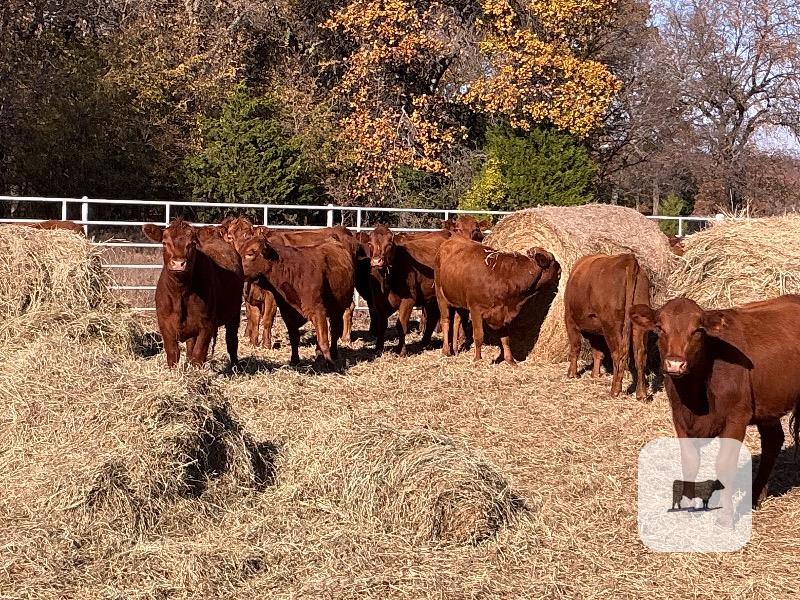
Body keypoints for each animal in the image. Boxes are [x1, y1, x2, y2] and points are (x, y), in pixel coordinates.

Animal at [142, 219, 244, 368]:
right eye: (164, 242)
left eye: (193, 243)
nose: (178, 263)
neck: (180, 293)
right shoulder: (164, 323)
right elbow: (173, 353)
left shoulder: (207, 324)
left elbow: (198, 355)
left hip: (234, 312)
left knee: (231, 340)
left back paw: (235, 367)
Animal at [237, 233, 355, 369]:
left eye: (250, 253)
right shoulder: (287, 313)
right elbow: (294, 338)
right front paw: (294, 360)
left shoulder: (318, 311)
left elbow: (324, 340)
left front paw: (330, 364)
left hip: (338, 308)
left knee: (335, 331)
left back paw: (334, 354)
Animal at [367, 225, 449, 355]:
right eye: (370, 243)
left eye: (389, 244)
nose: (376, 261)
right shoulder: (379, 302)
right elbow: (382, 325)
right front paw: (378, 348)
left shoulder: (408, 300)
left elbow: (401, 325)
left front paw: (401, 350)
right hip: (430, 298)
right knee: (432, 317)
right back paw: (424, 342)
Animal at [564, 253, 651, 400]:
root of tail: (627, 259)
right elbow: (597, 352)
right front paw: (595, 374)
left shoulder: (569, 320)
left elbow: (575, 347)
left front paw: (572, 373)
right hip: (639, 326)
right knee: (640, 355)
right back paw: (641, 394)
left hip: (612, 326)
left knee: (618, 353)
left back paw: (615, 390)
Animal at [631, 295, 800, 512]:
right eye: (660, 328)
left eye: (698, 330)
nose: (675, 364)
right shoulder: (679, 417)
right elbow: (689, 461)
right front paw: (687, 507)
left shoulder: (736, 419)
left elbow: (725, 465)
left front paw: (726, 515)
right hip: (767, 406)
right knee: (773, 441)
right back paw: (755, 496)